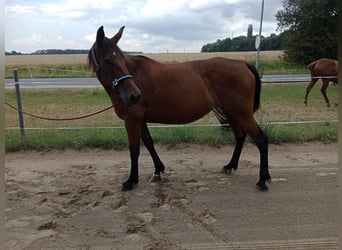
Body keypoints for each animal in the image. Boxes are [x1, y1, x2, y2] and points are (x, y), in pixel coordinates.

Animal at [87, 26, 270, 191]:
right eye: (107, 60)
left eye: (122, 60)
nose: (134, 95)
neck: (135, 74)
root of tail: (243, 64)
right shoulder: (140, 120)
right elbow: (149, 143)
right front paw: (158, 170)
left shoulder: (132, 120)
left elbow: (134, 150)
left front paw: (131, 181)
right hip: (231, 113)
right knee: (240, 136)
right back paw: (231, 166)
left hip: (242, 114)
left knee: (261, 140)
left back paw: (262, 180)